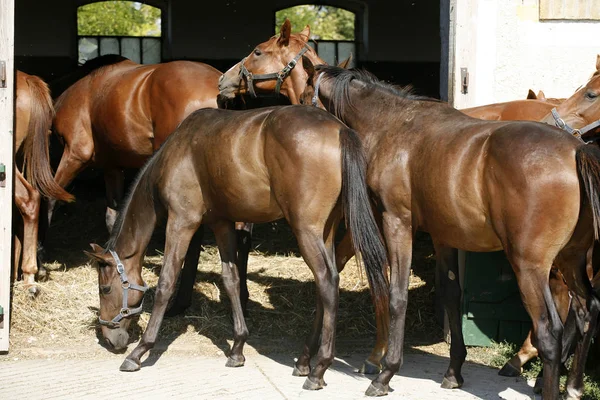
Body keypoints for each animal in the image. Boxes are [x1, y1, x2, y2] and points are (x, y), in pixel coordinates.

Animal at [84, 104, 390, 392]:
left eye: (105, 288)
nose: (110, 339)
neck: (178, 151)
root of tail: (340, 130)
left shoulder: (181, 221)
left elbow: (166, 283)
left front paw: (139, 352)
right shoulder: (221, 223)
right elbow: (231, 280)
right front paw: (238, 348)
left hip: (306, 229)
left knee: (327, 281)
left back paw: (320, 368)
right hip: (325, 231)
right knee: (325, 285)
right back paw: (305, 361)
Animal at [300, 62, 600, 396]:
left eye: (302, 97)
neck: (393, 125)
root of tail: (576, 151)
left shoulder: (397, 223)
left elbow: (397, 295)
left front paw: (386, 373)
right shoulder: (443, 236)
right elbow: (451, 293)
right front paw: (454, 371)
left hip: (531, 267)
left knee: (549, 332)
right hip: (572, 259)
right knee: (587, 310)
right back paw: (573, 387)